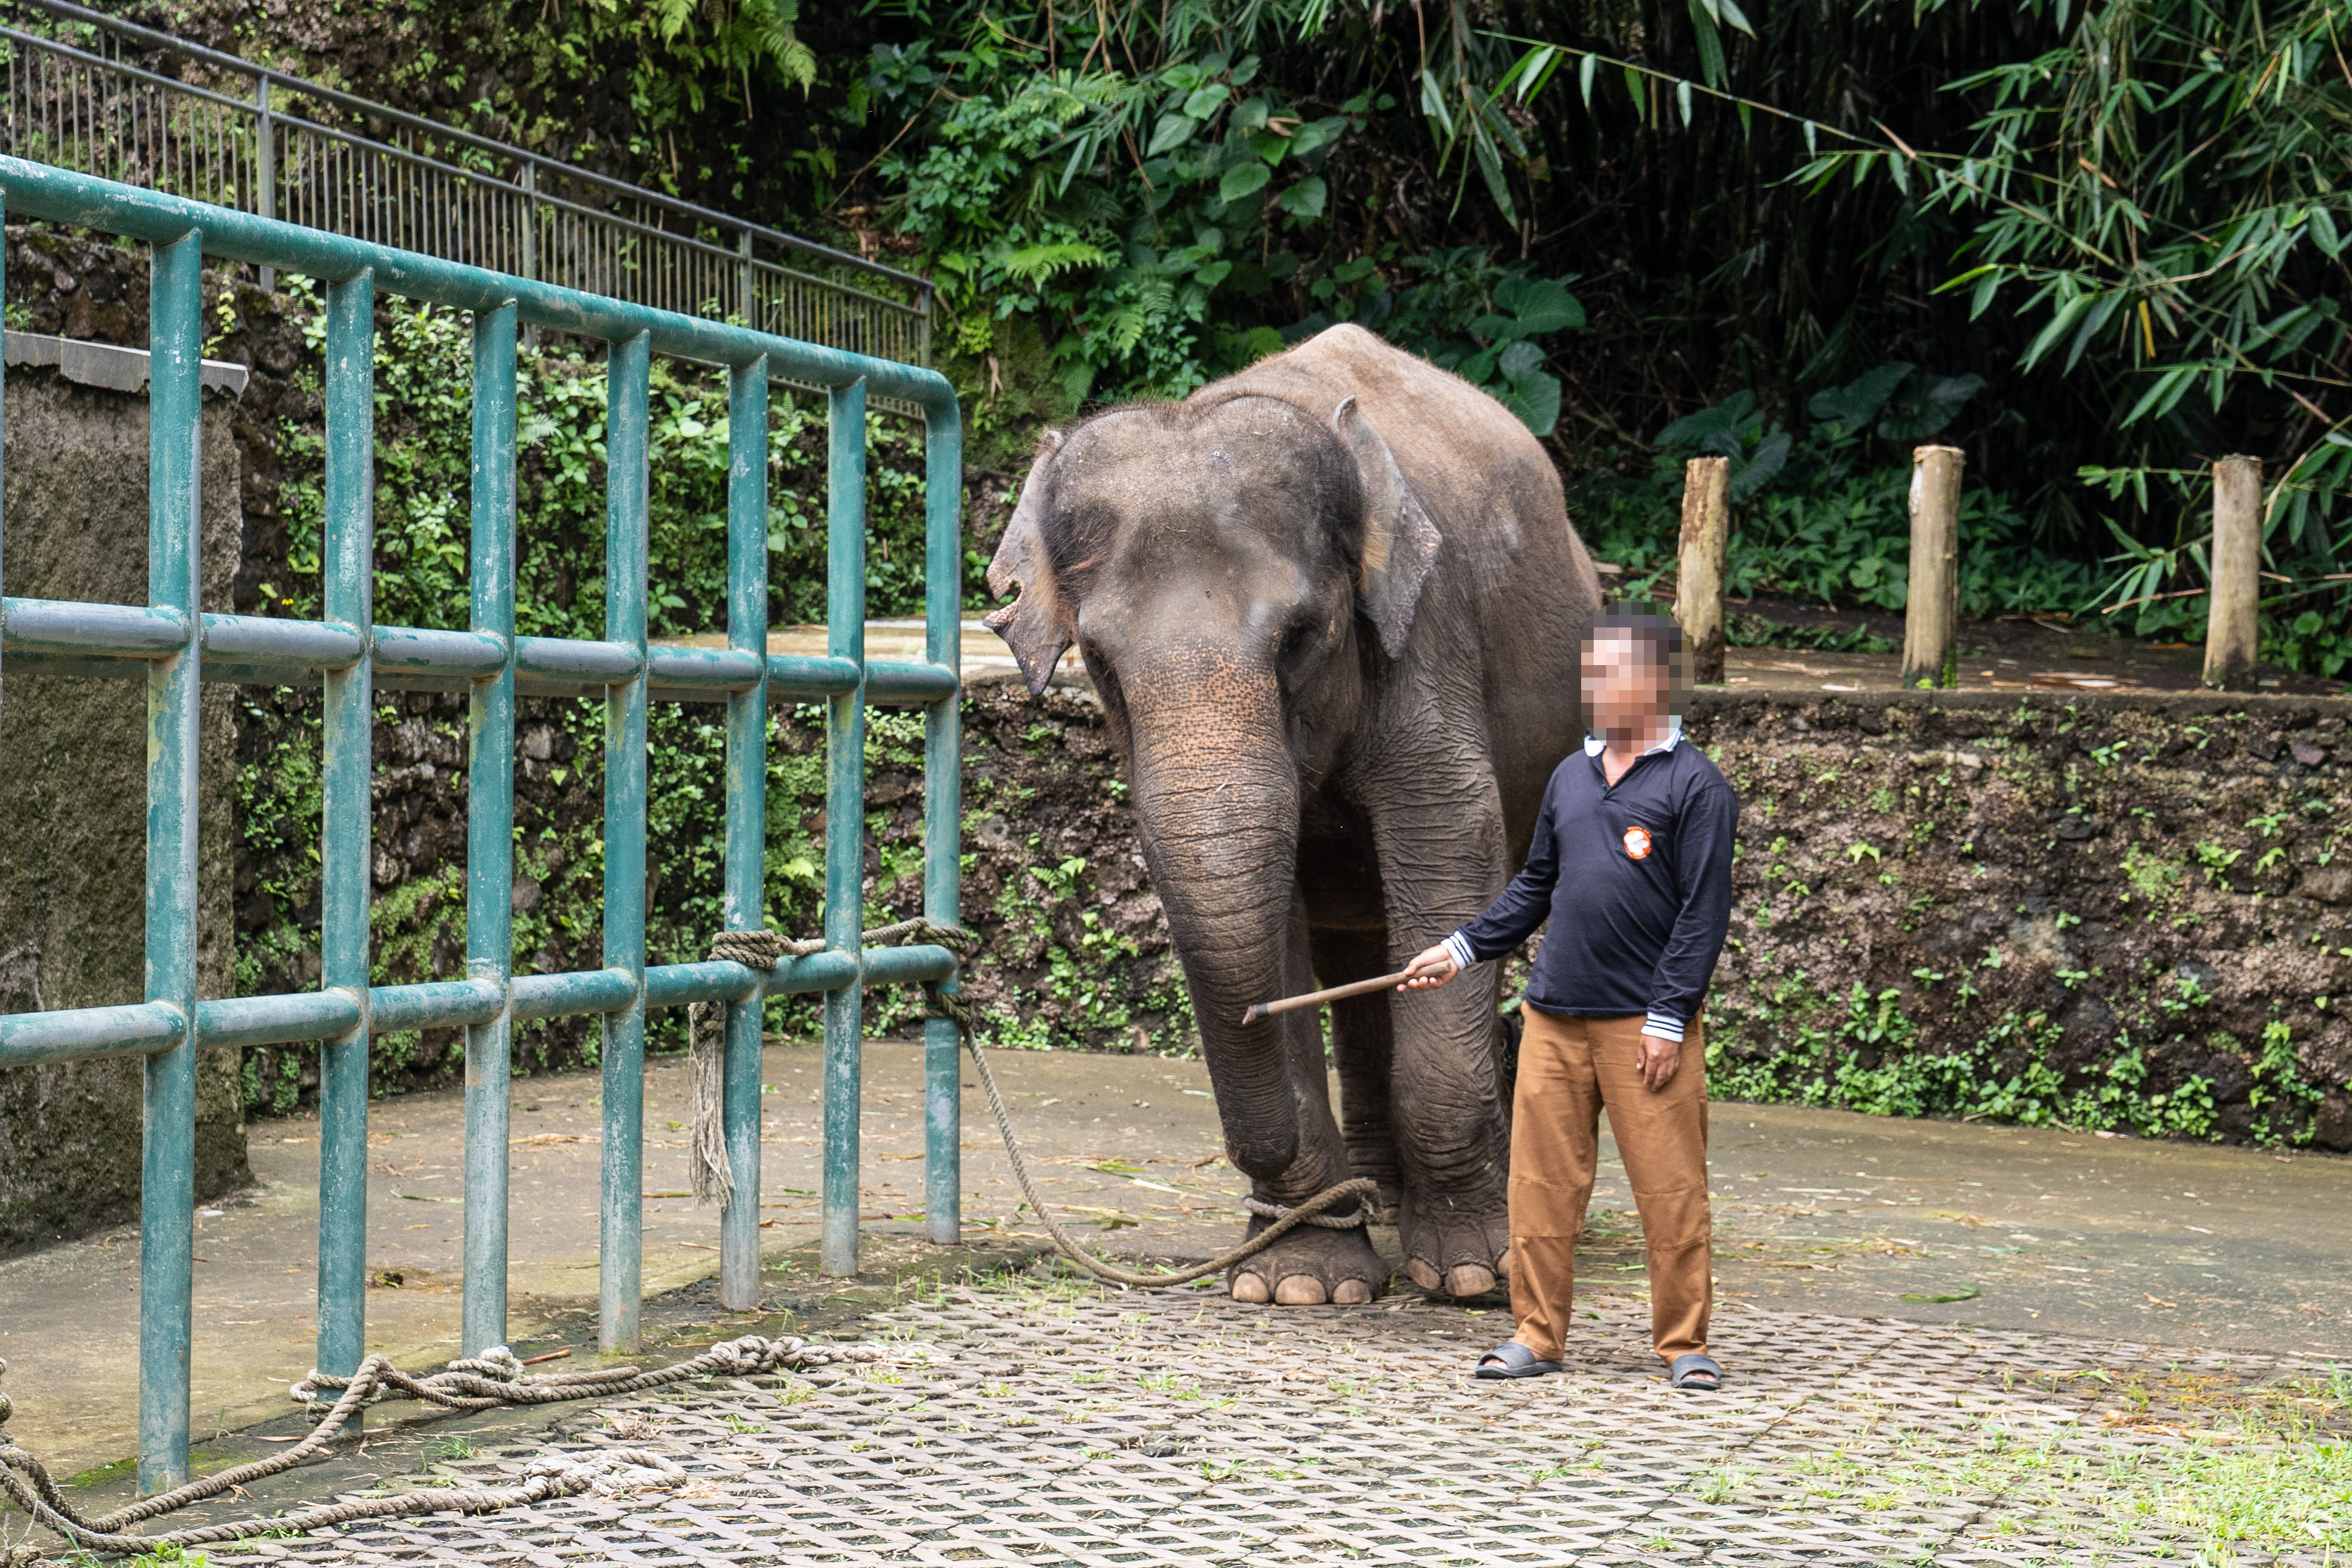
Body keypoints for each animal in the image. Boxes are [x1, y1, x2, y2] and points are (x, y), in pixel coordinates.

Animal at [973, 324, 1599, 1307]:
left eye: (1301, 638)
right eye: (1099, 663)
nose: (1274, 1179)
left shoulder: (1427, 634)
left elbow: (1449, 842)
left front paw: (1471, 1277)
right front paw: (1303, 1283)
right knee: (1358, 949)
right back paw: (1376, 1199)